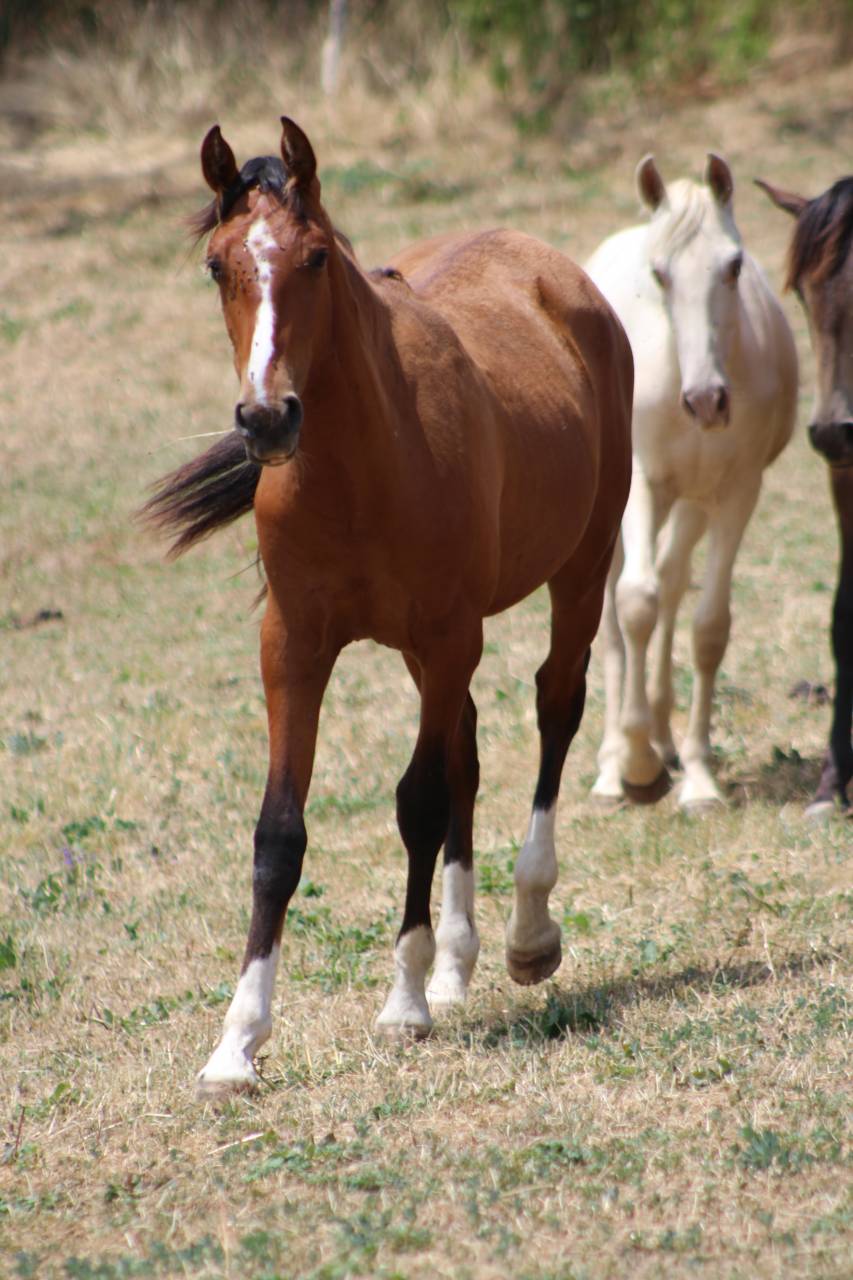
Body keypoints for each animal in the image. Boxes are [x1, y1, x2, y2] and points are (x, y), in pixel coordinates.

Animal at [143, 117, 633, 1093]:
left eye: (316, 257)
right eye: (217, 265)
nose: (266, 419)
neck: (360, 465)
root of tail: (558, 274)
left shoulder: (447, 635)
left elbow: (417, 801)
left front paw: (403, 1001)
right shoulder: (294, 645)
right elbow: (279, 836)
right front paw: (237, 1043)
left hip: (577, 569)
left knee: (554, 707)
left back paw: (526, 934)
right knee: (469, 752)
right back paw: (457, 963)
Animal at [584, 153, 798, 811]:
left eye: (733, 266)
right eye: (659, 274)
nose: (706, 401)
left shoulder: (736, 492)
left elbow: (708, 627)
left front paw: (699, 776)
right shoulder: (640, 484)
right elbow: (635, 604)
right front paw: (633, 765)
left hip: (693, 503)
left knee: (674, 581)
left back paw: (662, 735)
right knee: (615, 610)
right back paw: (612, 764)